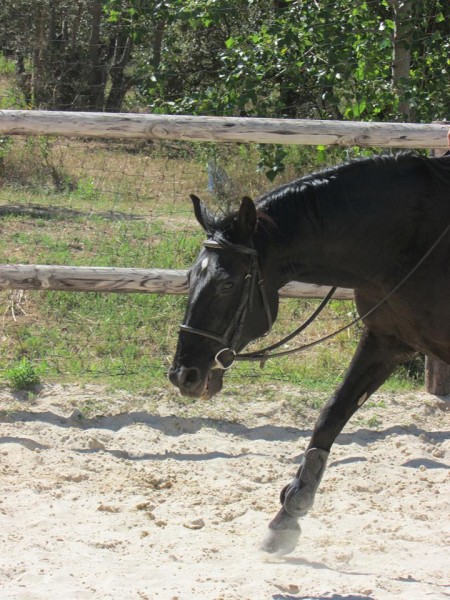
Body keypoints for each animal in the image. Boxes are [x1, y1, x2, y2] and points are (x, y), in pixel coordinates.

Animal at [169, 151, 450, 555]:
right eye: (192, 276)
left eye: (227, 284)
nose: (183, 374)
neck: (415, 240)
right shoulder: (385, 340)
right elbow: (331, 414)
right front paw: (287, 516)